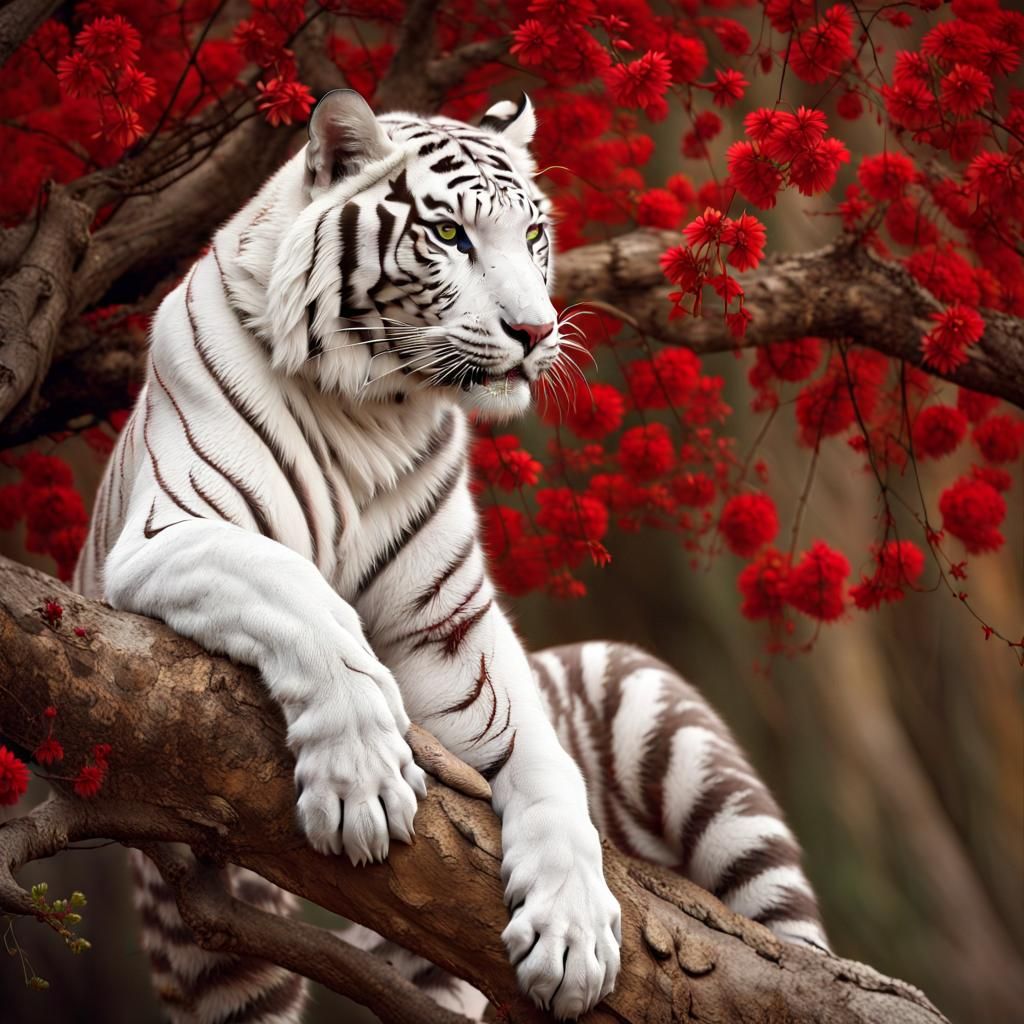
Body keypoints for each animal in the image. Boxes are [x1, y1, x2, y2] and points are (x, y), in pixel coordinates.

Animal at [74, 89, 829, 1023]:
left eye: (533, 233)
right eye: (449, 235)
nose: (534, 330)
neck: (370, 409)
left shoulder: (451, 632)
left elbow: (540, 755)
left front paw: (574, 927)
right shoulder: (169, 531)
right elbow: (301, 596)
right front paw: (362, 779)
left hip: (668, 723)